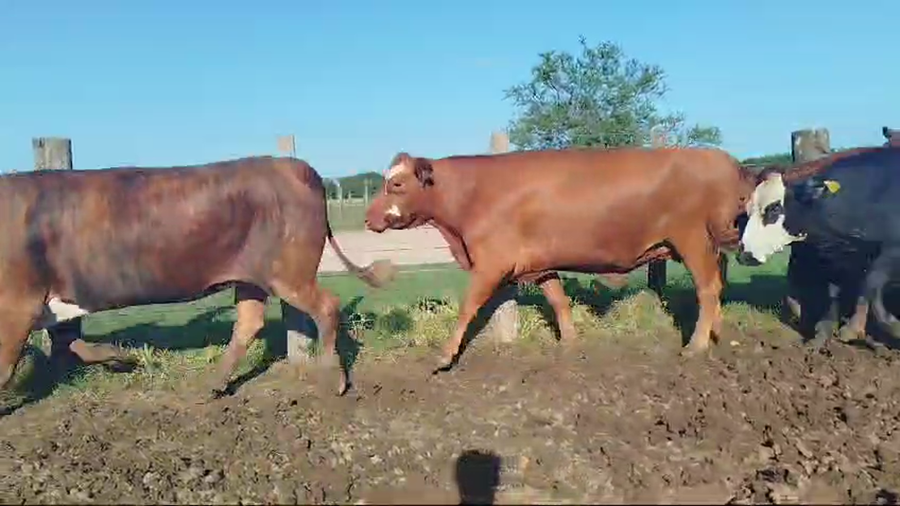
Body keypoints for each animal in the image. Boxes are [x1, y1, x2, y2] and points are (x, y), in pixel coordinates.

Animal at [0, 156, 396, 399]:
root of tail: (293, 165)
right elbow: (71, 344)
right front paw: (122, 358)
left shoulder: (17, 303)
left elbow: (6, 367)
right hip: (252, 277)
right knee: (249, 322)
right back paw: (215, 385)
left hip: (288, 270)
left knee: (327, 305)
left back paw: (334, 378)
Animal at [364, 147, 755, 371]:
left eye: (396, 185)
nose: (369, 218)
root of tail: (726, 160)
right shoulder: (539, 264)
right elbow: (558, 300)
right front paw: (569, 343)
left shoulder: (490, 263)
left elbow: (467, 307)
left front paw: (445, 355)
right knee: (716, 285)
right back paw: (718, 334)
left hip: (692, 239)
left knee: (707, 288)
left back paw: (697, 345)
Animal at [736, 146, 900, 346]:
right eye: (748, 209)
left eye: (774, 208)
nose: (744, 254)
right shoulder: (841, 259)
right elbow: (836, 292)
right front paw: (823, 332)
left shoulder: (891, 252)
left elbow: (871, 283)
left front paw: (889, 326)